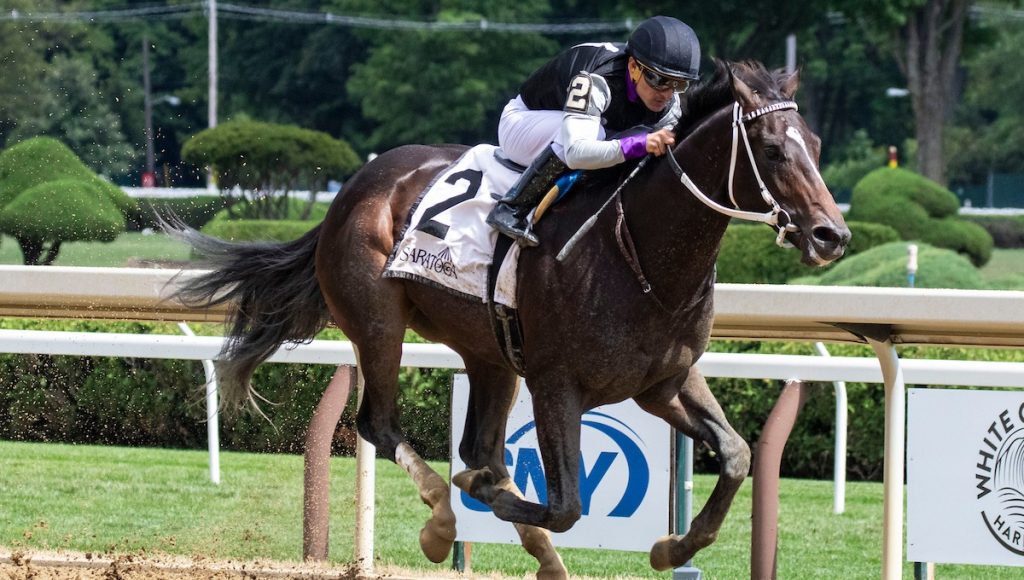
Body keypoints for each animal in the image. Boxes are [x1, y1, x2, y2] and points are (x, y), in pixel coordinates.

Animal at [164, 59, 850, 577]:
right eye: (771, 149)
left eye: (816, 147)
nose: (832, 235)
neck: (640, 254)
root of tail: (354, 187)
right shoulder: (557, 383)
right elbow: (565, 502)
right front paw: (476, 498)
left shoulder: (663, 381)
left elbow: (736, 454)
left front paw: (671, 547)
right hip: (379, 325)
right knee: (381, 425)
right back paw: (443, 519)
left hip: (492, 354)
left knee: (478, 444)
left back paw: (533, 547)